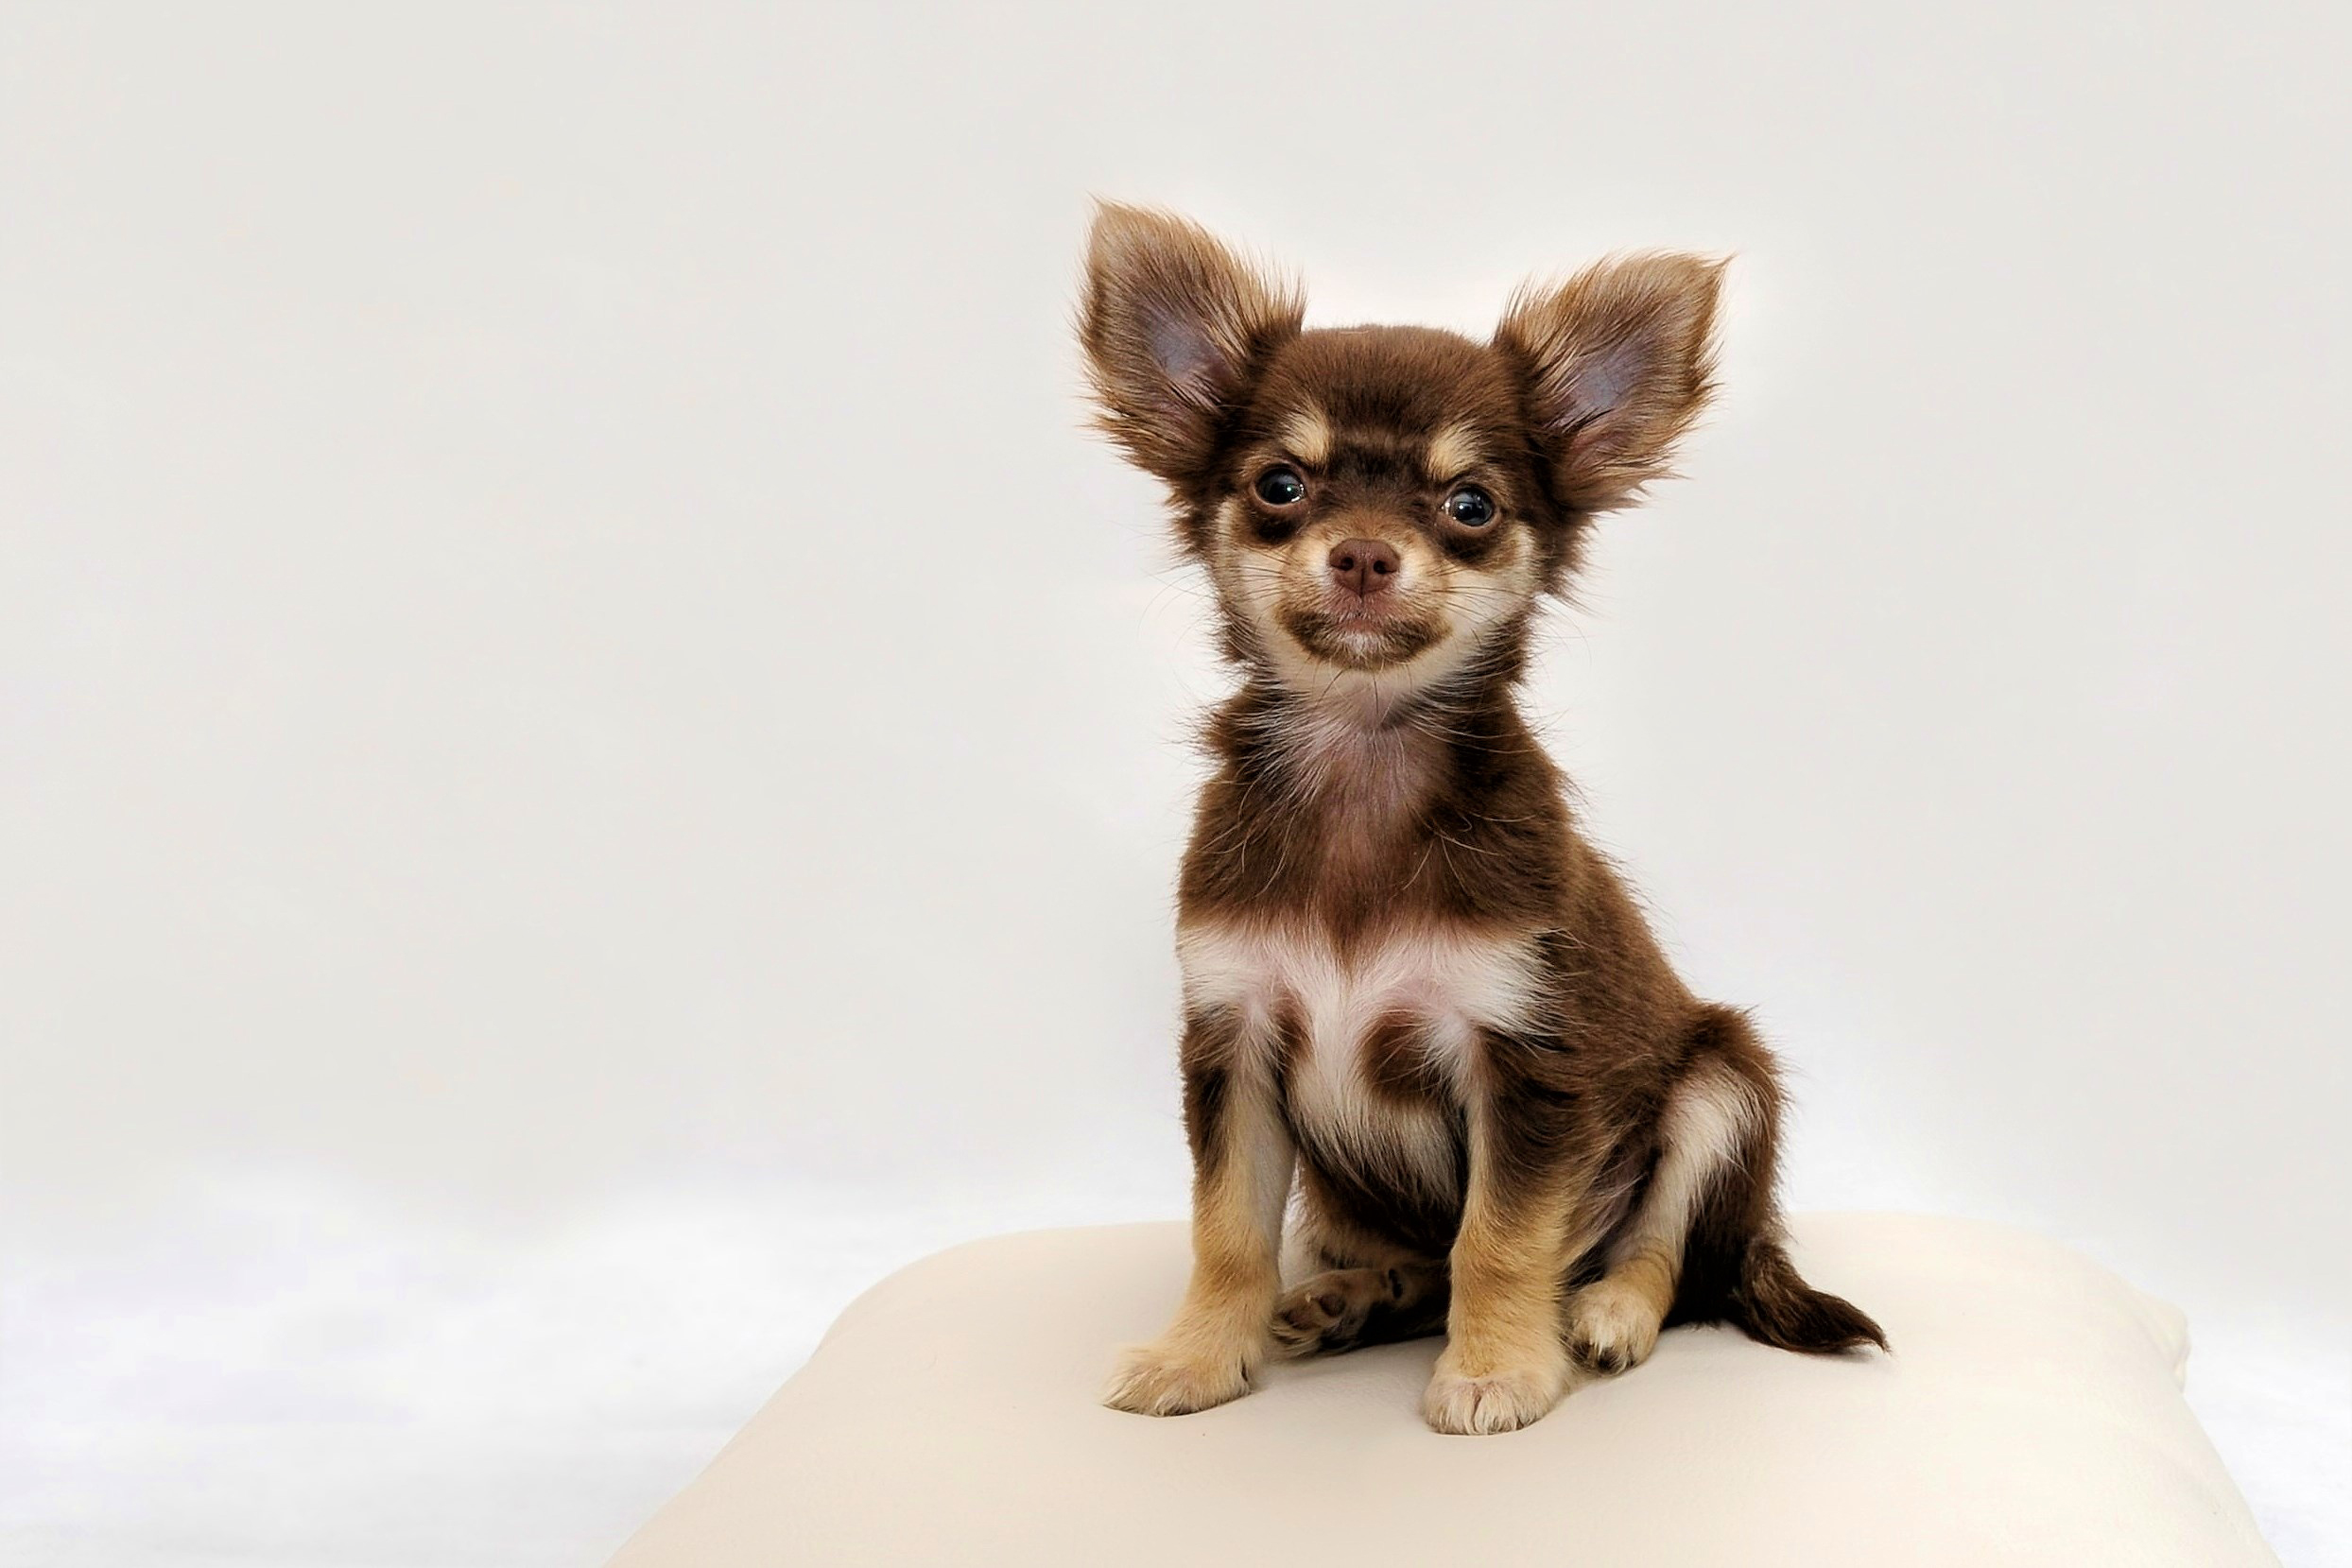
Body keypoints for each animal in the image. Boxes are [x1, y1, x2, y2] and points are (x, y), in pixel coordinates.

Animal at [1077, 205, 1881, 1439]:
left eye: (1470, 507)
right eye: (1278, 485)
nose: (1364, 554)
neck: (1364, 757)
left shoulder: (1524, 1062)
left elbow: (1499, 1238)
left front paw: (1499, 1368)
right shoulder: (1234, 1041)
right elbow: (1226, 1229)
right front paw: (1197, 1355)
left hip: (1722, 1082)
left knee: (1665, 1248)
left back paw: (1605, 1312)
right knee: (1403, 1253)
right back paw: (1352, 1298)